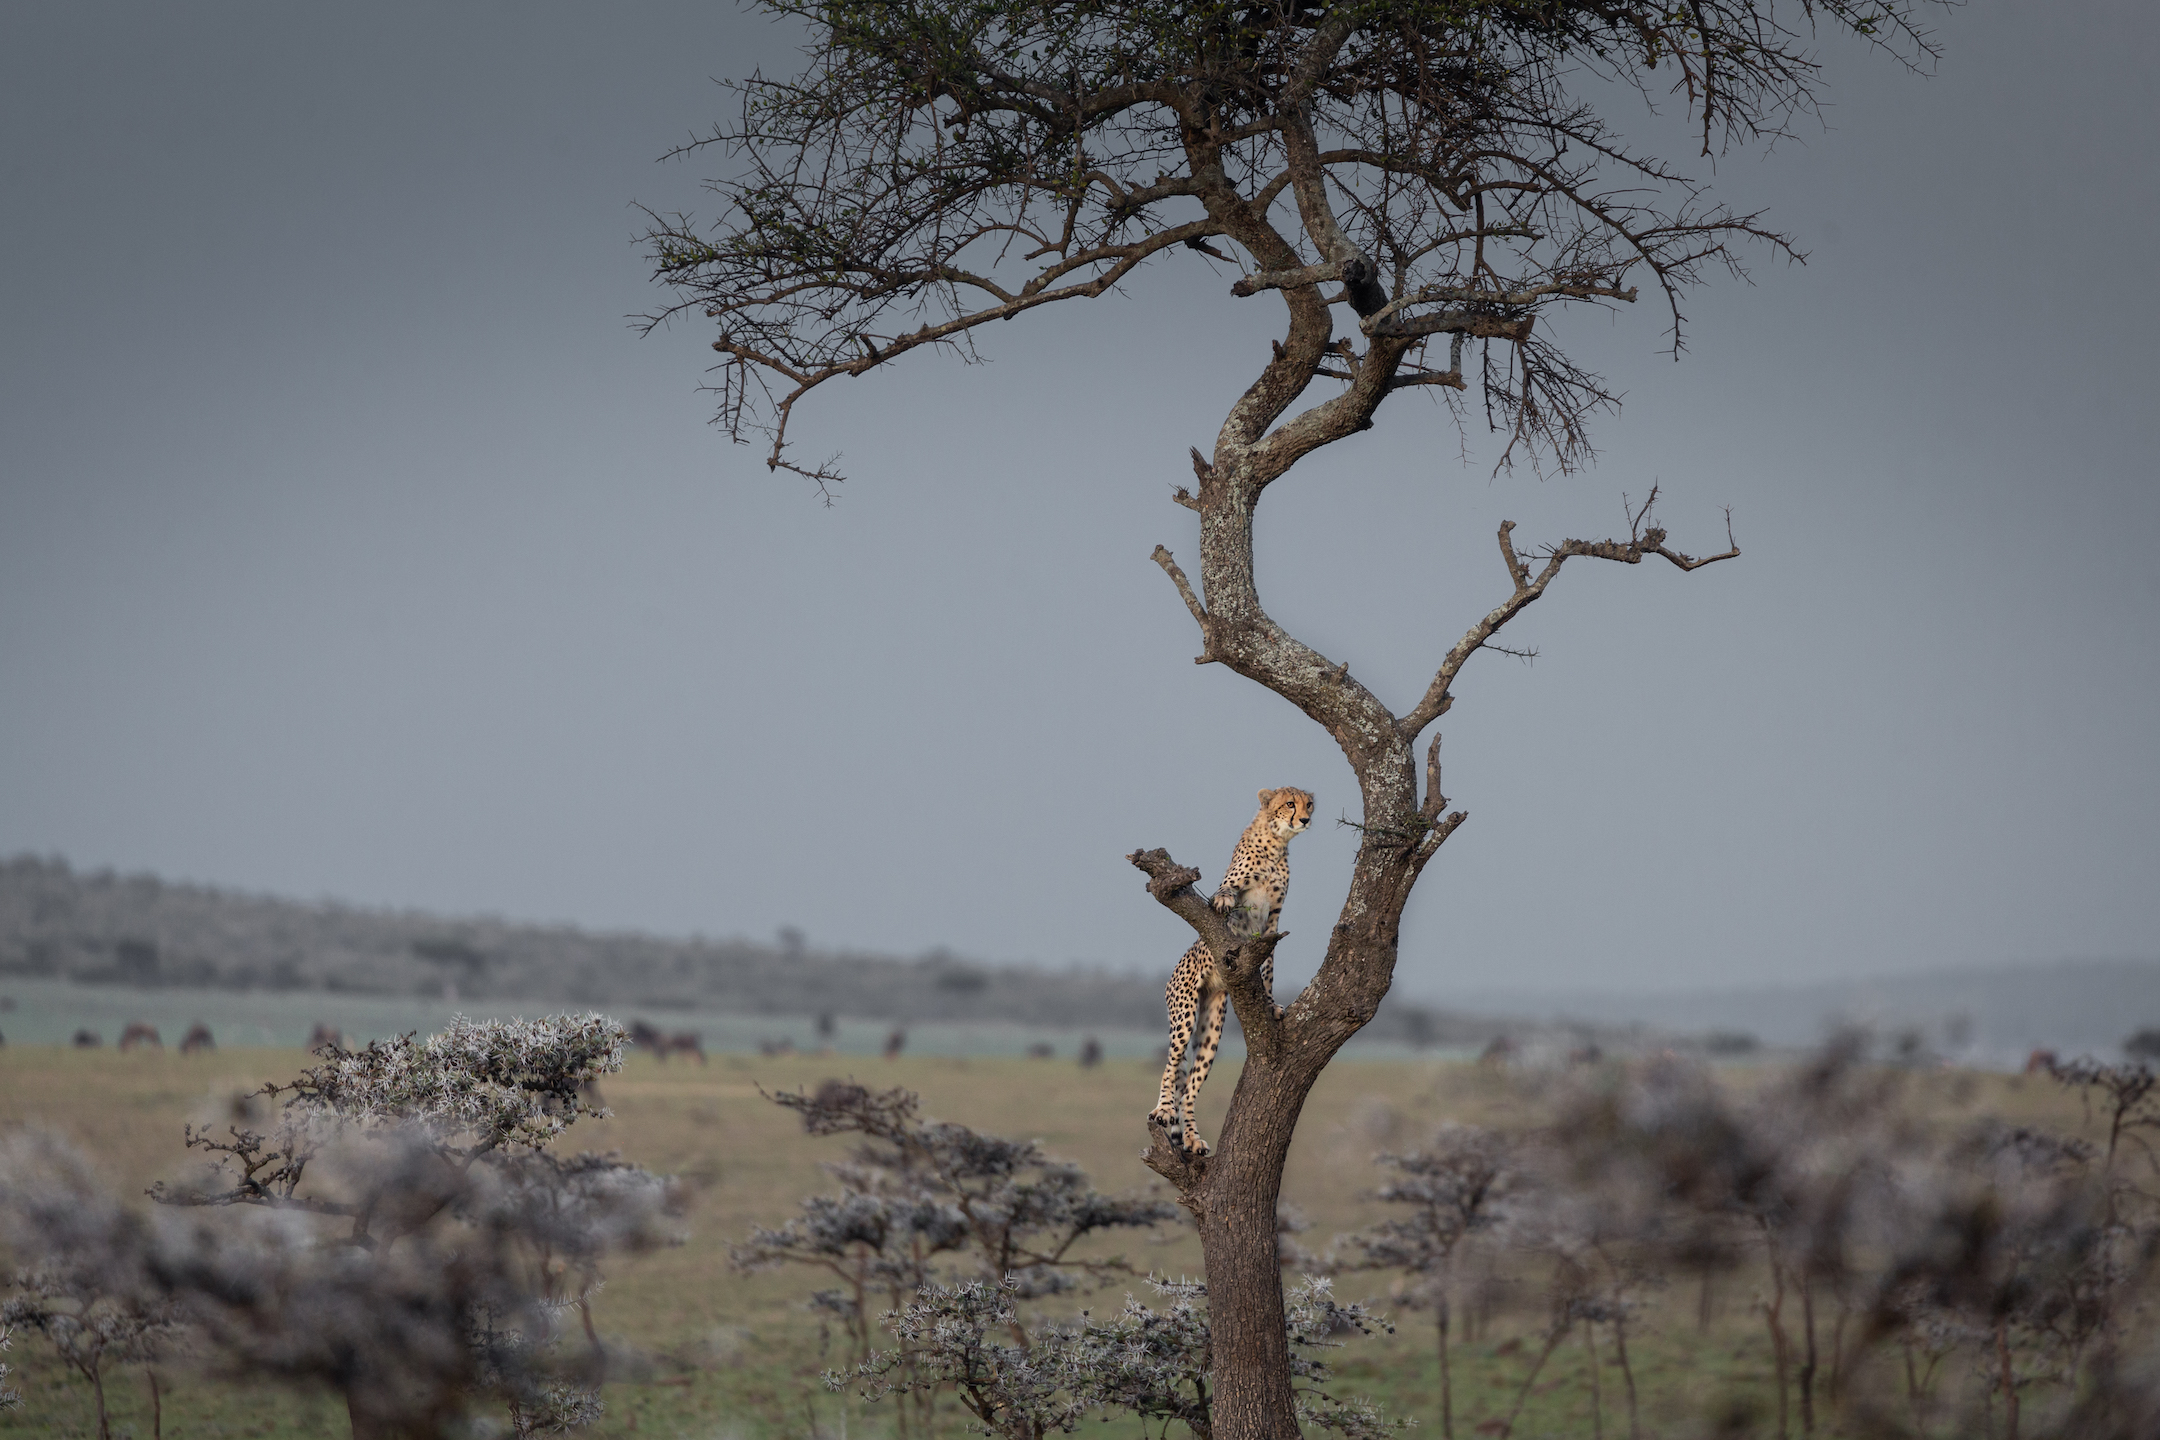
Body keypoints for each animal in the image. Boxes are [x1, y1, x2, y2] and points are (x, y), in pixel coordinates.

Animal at [1149, 786, 1314, 1156]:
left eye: (1309, 804)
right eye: (1289, 804)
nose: (1305, 819)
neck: (1276, 842)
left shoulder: (1272, 922)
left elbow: (1267, 969)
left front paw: (1270, 1004)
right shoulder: (1235, 884)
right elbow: (1224, 891)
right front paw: (1224, 901)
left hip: (1212, 1026)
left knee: (1190, 1088)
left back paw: (1192, 1138)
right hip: (1184, 1013)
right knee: (1171, 1065)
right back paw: (1163, 1110)